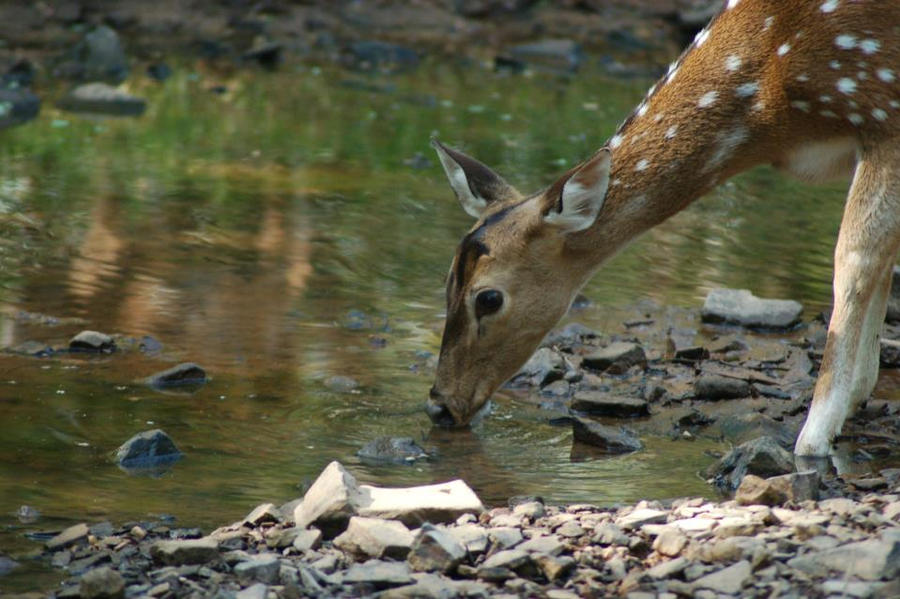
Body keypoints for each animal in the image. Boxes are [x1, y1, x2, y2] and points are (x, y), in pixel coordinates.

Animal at [426, 0, 896, 458]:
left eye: (489, 298)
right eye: (447, 279)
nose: (439, 405)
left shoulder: (885, 115)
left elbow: (854, 259)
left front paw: (814, 440)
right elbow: (881, 260)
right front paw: (857, 395)